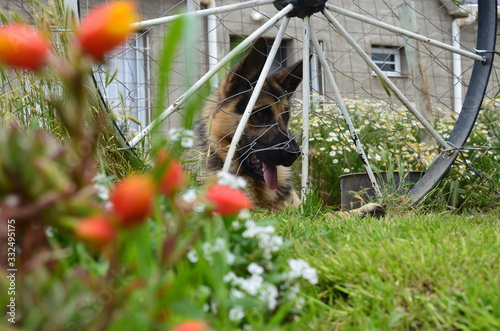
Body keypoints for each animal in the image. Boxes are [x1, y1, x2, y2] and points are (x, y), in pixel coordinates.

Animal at [193, 37, 384, 217]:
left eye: (286, 117)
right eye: (260, 115)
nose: (295, 153)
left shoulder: (296, 208)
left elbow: (318, 213)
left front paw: (357, 211)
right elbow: (308, 217)